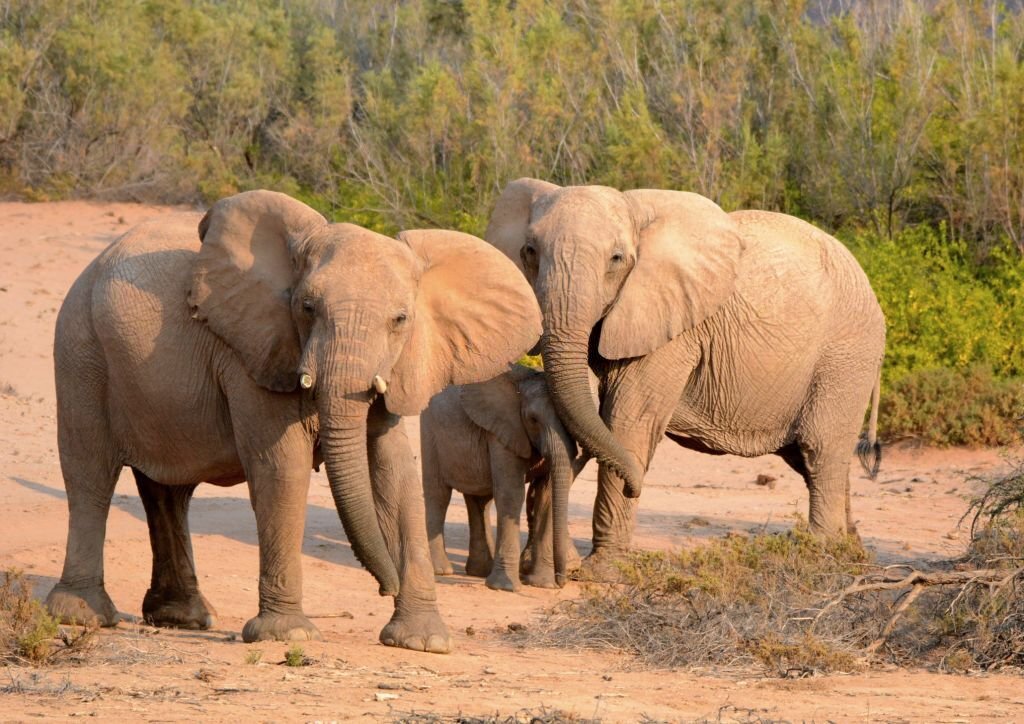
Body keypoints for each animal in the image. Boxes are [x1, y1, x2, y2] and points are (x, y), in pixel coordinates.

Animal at [44, 189, 542, 652]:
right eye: (306, 308)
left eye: (401, 319)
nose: (385, 586)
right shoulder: (253, 353)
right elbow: (282, 467)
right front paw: (288, 635)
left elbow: (394, 473)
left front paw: (423, 641)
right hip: (80, 346)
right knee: (90, 473)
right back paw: (81, 614)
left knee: (168, 489)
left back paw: (183, 618)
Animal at [420, 364, 587, 591]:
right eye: (533, 420)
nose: (562, 580)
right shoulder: (503, 432)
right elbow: (511, 494)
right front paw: (506, 587)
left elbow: (546, 497)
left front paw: (543, 584)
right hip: (431, 433)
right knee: (438, 495)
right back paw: (441, 570)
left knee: (480, 500)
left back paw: (479, 571)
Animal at [485, 179, 885, 579]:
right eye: (529, 252)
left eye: (616, 259)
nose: (635, 489)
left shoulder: (671, 326)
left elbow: (628, 422)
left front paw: (600, 572)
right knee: (809, 458)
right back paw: (852, 552)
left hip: (845, 357)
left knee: (819, 448)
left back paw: (821, 554)